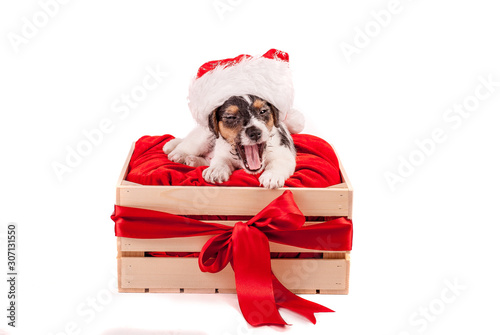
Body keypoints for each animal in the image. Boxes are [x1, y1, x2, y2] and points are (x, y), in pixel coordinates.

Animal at [164, 95, 296, 189]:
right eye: (231, 117)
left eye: (263, 111)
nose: (255, 132)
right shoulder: (222, 153)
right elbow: (220, 161)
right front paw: (216, 170)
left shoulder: (284, 154)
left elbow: (278, 163)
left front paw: (272, 175)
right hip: (203, 138)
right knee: (187, 145)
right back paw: (179, 154)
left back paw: (193, 160)